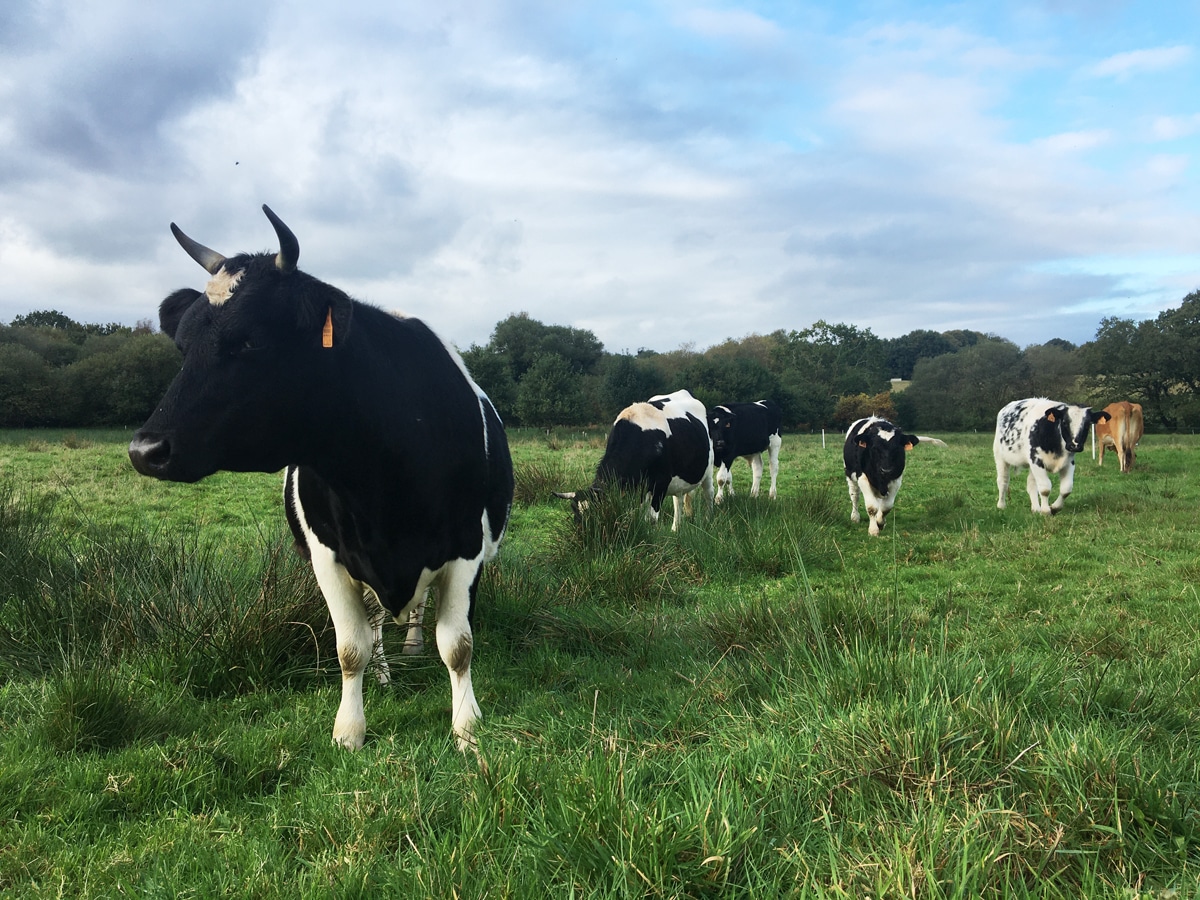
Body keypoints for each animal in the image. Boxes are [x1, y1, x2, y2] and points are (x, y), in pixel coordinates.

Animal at [128, 205, 513, 752]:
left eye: (251, 340)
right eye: (183, 346)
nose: (145, 451)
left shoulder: (466, 549)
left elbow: (456, 646)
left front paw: (467, 728)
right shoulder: (329, 557)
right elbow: (350, 647)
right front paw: (349, 730)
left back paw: (411, 647)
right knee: (375, 622)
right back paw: (385, 672)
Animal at [554, 389, 714, 531]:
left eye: (596, 510)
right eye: (574, 511)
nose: (581, 536)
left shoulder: (660, 483)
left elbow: (651, 518)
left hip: (708, 470)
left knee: (709, 494)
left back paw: (708, 521)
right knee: (678, 501)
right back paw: (676, 528)